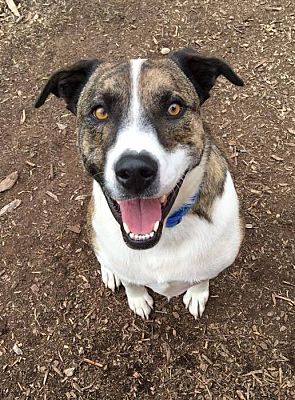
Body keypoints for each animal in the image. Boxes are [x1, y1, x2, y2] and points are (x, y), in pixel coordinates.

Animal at [35, 48, 245, 320]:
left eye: (174, 108)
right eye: (100, 112)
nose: (134, 171)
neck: (163, 238)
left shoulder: (214, 261)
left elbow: (202, 277)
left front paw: (197, 293)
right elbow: (130, 281)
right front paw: (137, 298)